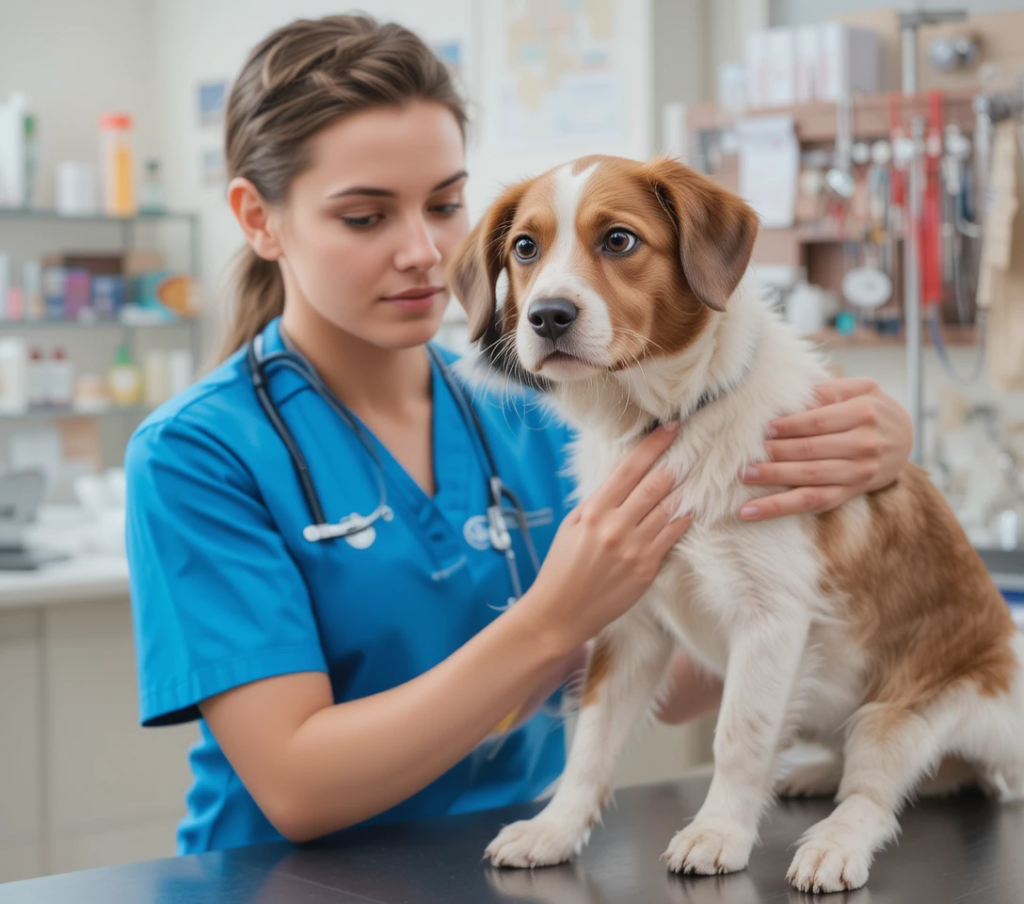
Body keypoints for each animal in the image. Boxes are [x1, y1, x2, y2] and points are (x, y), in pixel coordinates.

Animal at [450, 153, 1024, 892]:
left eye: (618, 240)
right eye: (525, 247)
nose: (549, 315)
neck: (667, 422)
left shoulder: (771, 617)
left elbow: (738, 736)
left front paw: (718, 833)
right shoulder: (628, 624)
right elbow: (593, 745)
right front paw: (554, 829)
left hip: (911, 708)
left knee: (875, 795)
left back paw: (833, 842)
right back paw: (814, 771)